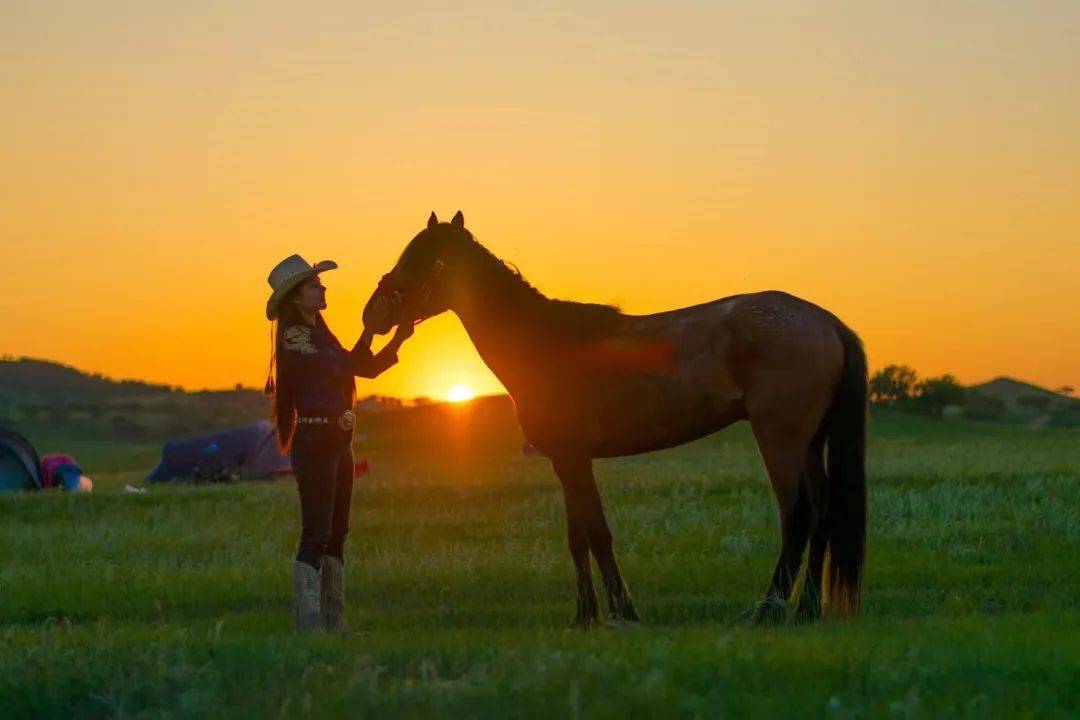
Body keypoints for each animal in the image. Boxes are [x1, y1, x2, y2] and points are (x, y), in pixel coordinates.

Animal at [362, 209, 868, 626]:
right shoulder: (565, 461)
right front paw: (584, 616)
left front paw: (623, 611)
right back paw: (805, 611)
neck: (543, 343)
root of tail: (825, 321)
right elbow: (578, 536)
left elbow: (598, 533)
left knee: (798, 516)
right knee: (823, 514)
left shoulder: (574, 458)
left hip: (779, 439)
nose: (373, 314)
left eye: (421, 258)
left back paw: (768, 610)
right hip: (809, 444)